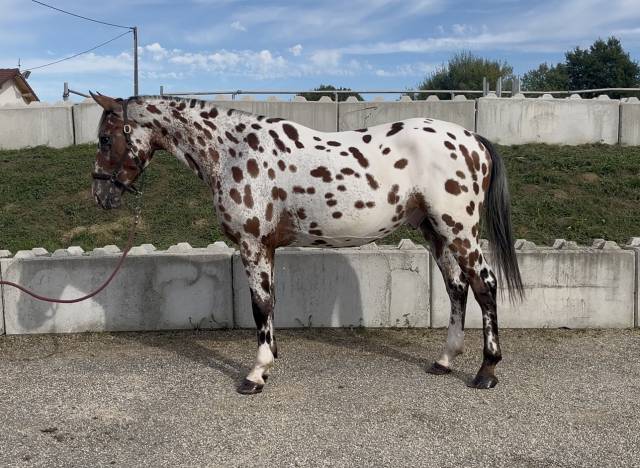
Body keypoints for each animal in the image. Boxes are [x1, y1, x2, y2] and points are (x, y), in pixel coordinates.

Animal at [89, 92, 524, 395]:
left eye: (105, 138)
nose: (101, 196)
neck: (233, 152)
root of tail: (473, 139)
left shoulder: (253, 244)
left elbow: (259, 305)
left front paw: (256, 373)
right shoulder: (267, 248)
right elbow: (269, 304)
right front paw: (269, 359)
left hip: (459, 229)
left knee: (485, 286)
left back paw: (486, 371)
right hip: (436, 232)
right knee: (457, 288)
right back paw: (445, 360)